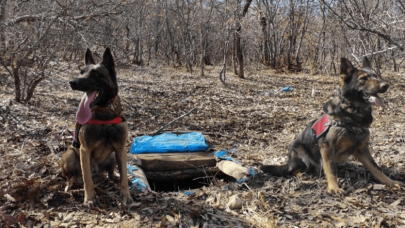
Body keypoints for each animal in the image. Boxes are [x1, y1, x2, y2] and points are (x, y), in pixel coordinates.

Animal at [59, 47, 132, 207]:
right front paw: (90, 198)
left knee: (110, 172)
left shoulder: (121, 149)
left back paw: (113, 177)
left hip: (112, 156)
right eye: (81, 72)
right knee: (72, 176)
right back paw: (74, 183)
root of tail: (98, 172)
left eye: (96, 74)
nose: (72, 82)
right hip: (70, 154)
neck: (104, 114)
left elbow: (124, 175)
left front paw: (126, 195)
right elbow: (87, 179)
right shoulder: (85, 150)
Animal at [260, 57, 402, 194]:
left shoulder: (362, 151)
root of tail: (288, 161)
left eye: (376, 76)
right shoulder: (326, 147)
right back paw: (301, 174)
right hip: (300, 151)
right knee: (292, 169)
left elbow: (377, 168)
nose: (386, 85)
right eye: (363, 79)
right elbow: (331, 170)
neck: (353, 114)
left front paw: (390, 182)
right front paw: (334, 188)